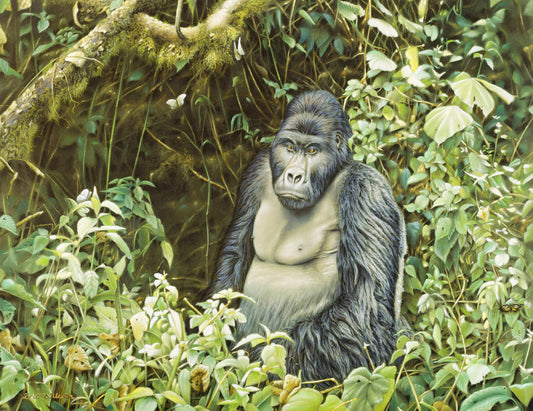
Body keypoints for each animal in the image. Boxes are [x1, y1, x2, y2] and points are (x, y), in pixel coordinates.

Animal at [207, 89, 404, 384]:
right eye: (289, 147)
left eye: (312, 151)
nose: (294, 175)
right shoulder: (257, 170)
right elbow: (234, 256)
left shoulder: (366, 189)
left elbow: (364, 310)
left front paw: (251, 364)